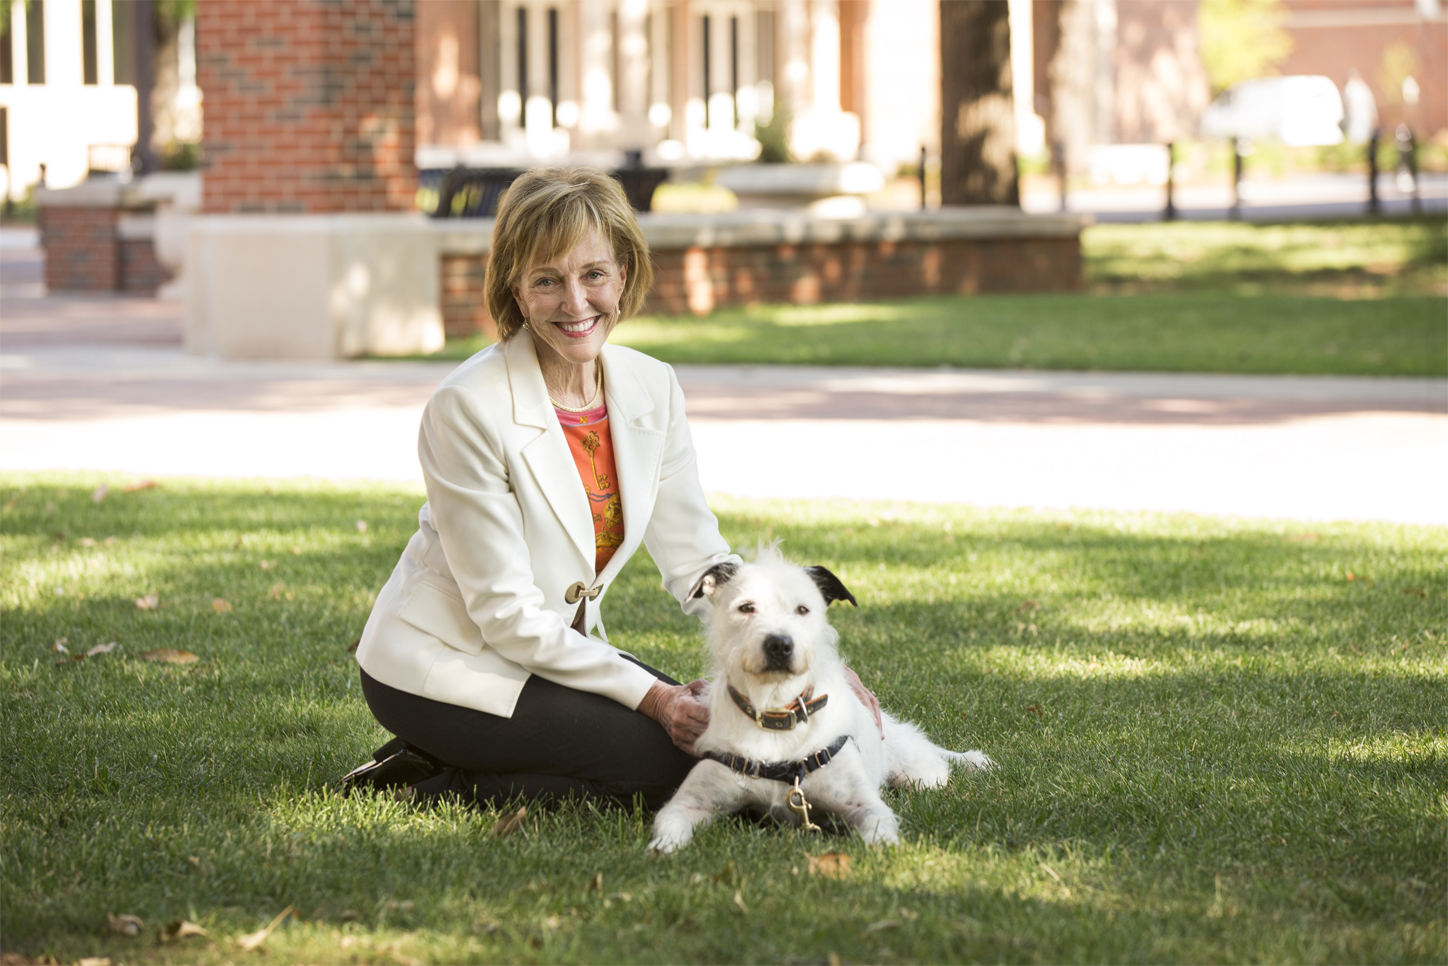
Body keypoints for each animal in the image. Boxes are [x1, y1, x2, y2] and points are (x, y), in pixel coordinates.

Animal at [651, 547, 990, 851]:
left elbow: (880, 835)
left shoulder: (866, 805)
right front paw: (663, 850)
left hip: (921, 776)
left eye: (803, 609)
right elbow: (669, 827)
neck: (776, 715)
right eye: (746, 608)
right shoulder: (688, 803)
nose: (779, 644)